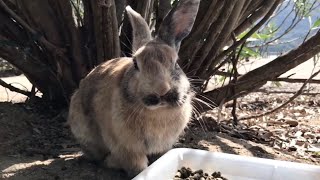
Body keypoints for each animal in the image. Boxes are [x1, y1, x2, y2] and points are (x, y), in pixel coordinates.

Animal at [68, 0, 200, 176]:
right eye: (136, 64)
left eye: (176, 63)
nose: (161, 90)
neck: (157, 112)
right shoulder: (128, 150)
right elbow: (138, 166)